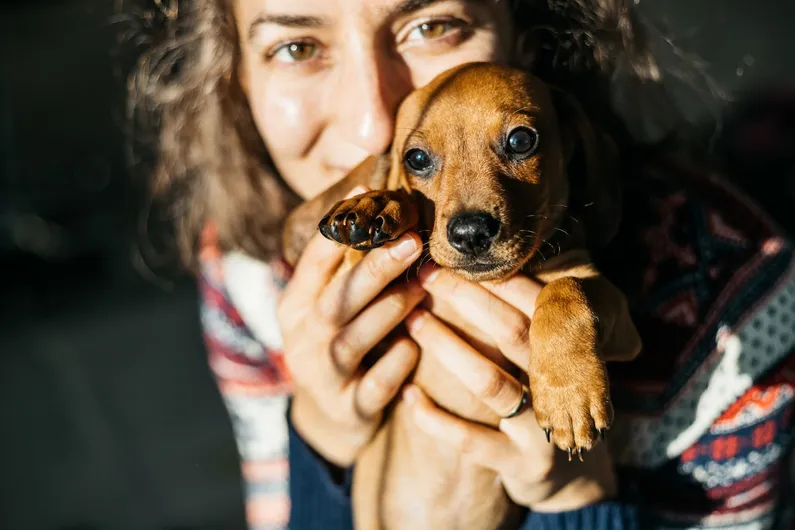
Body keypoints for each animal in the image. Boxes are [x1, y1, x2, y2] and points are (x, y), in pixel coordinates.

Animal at [280, 63, 640, 528]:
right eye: (416, 159)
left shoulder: (623, 322)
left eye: (521, 140)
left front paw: (567, 394)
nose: (470, 233)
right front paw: (377, 202)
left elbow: (565, 292)